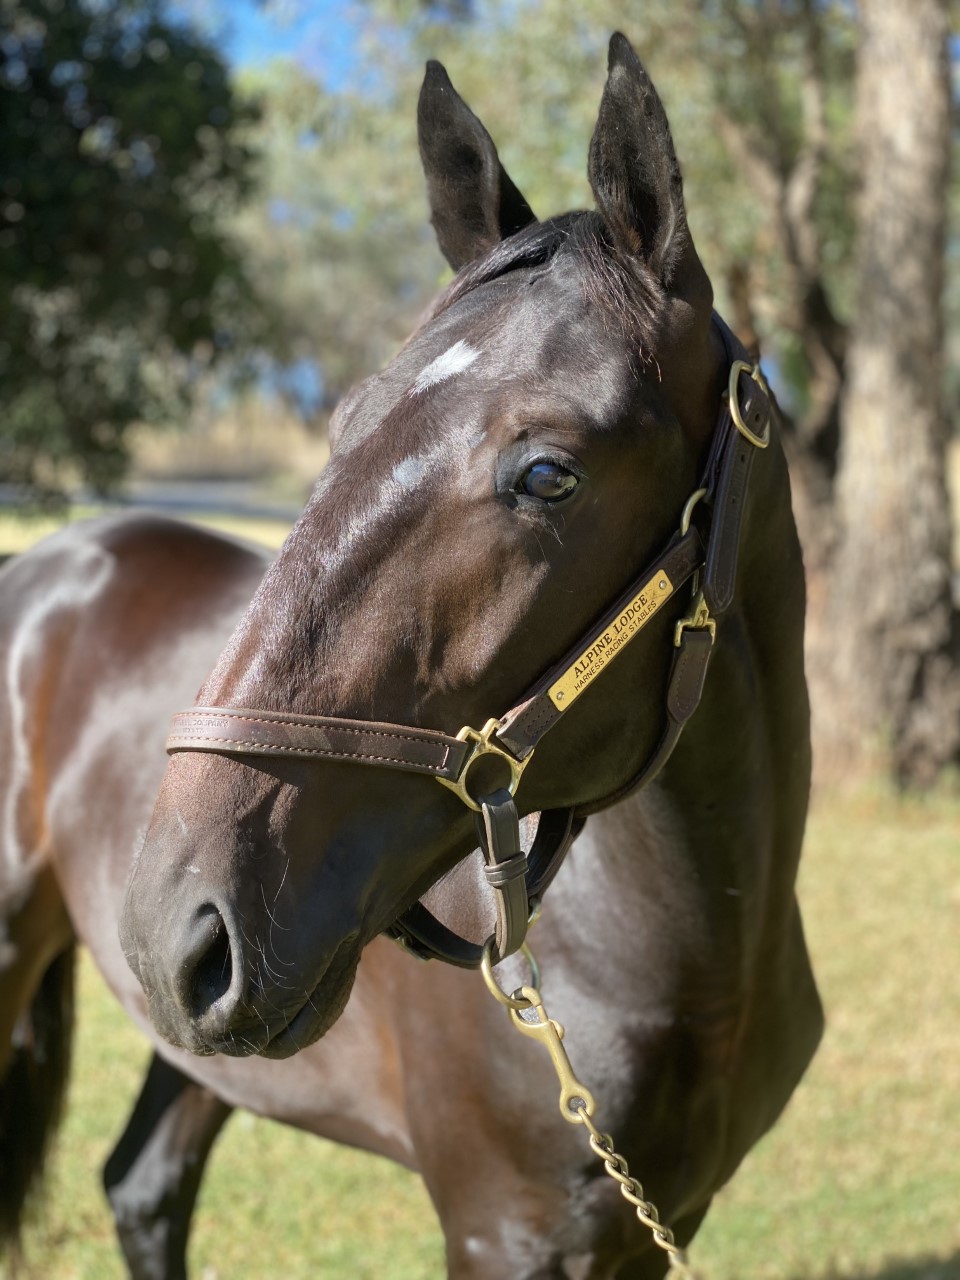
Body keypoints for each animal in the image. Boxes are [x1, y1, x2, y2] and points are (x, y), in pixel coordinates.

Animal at [0, 34, 822, 1279]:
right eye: (344, 420)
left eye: (548, 472)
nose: (173, 918)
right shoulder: (503, 1231)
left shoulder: (662, 1218)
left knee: (143, 1184)